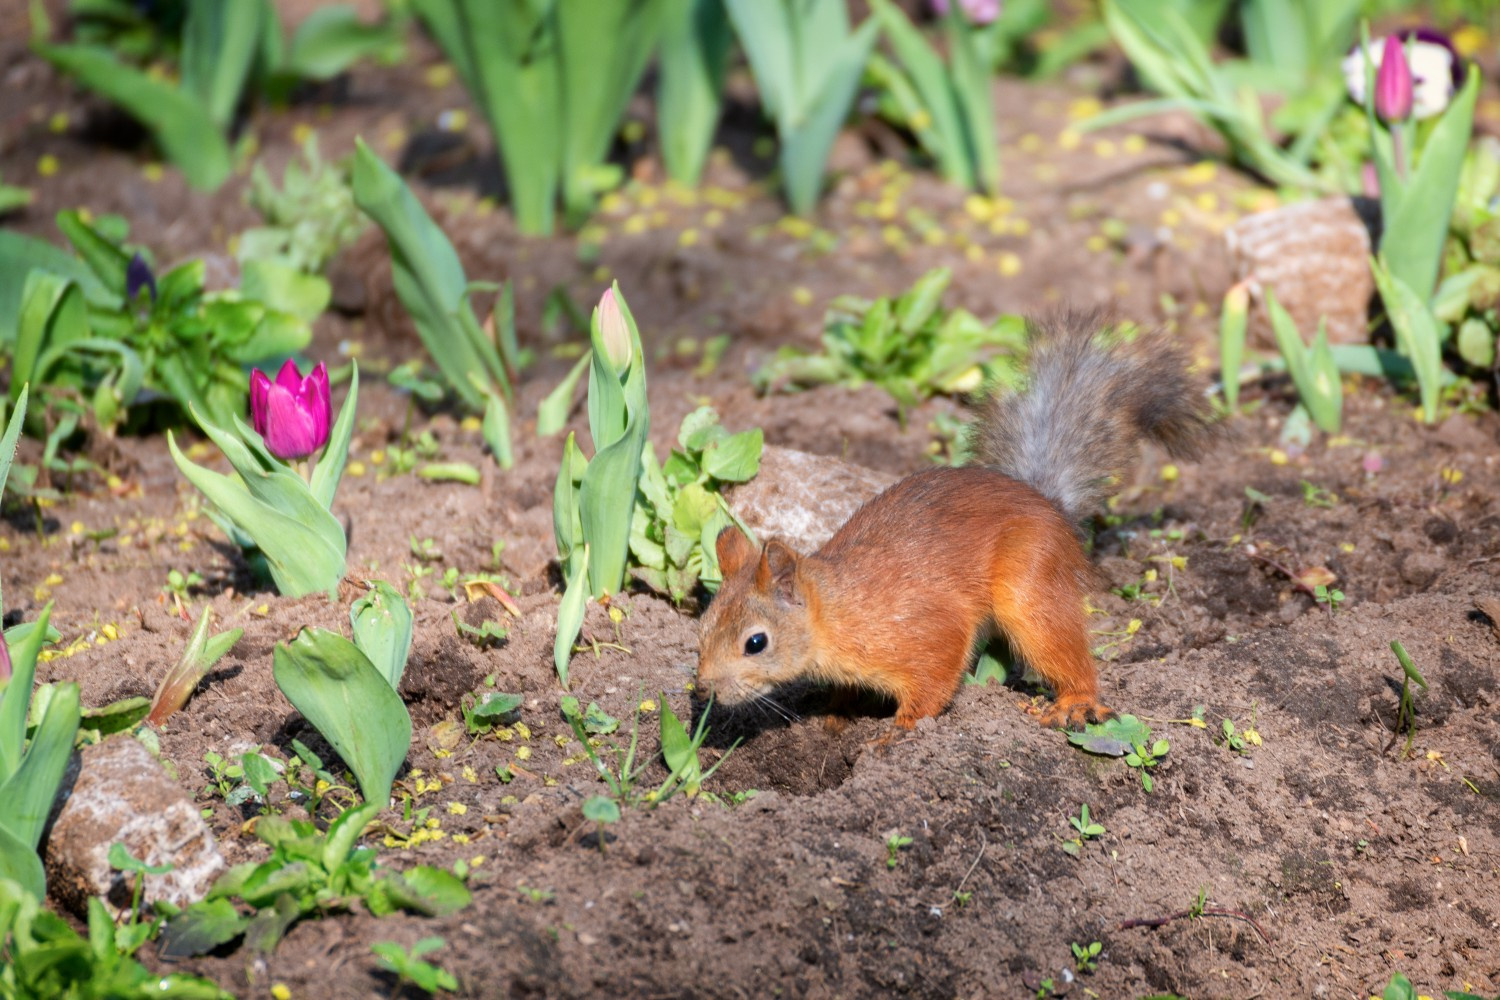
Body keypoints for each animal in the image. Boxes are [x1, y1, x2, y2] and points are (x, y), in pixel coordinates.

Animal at [696, 313, 1217, 730]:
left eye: (756, 643)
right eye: (702, 625)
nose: (702, 689)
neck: (839, 613)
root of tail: (1048, 503)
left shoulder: (926, 630)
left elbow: (934, 680)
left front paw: (899, 731)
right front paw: (836, 713)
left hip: (1029, 586)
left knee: (1063, 648)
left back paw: (1076, 701)